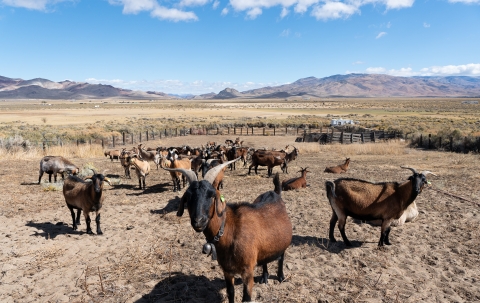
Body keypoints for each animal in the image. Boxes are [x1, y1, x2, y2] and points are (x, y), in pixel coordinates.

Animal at [165, 160, 292, 302]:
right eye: (188, 196)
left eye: (212, 195)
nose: (198, 221)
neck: (230, 231)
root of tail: (275, 193)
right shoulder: (227, 270)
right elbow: (230, 292)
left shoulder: (247, 271)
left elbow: (246, 298)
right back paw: (264, 277)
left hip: (282, 243)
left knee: (281, 256)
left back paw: (281, 277)